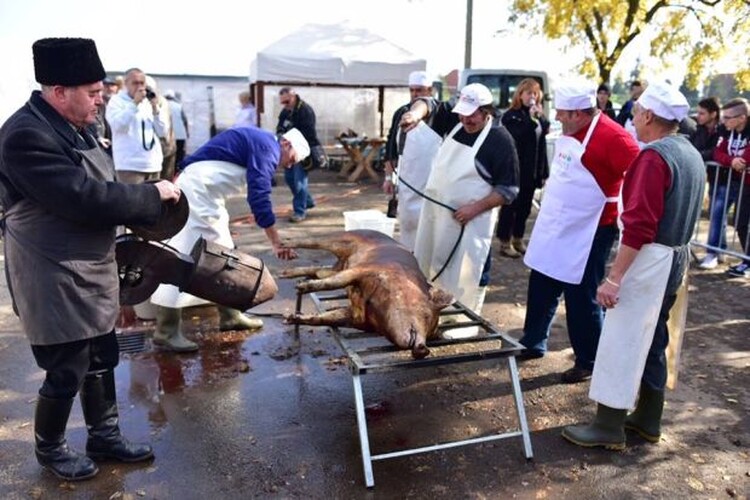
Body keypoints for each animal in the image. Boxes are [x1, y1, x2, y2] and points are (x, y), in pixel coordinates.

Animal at [280, 229, 452, 358]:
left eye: (430, 334)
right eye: (427, 316)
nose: (424, 349)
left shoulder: (356, 318)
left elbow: (327, 318)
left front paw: (290, 318)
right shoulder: (365, 270)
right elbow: (334, 283)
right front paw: (301, 287)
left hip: (334, 267)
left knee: (319, 270)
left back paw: (286, 274)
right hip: (345, 238)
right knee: (313, 241)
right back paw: (284, 245)